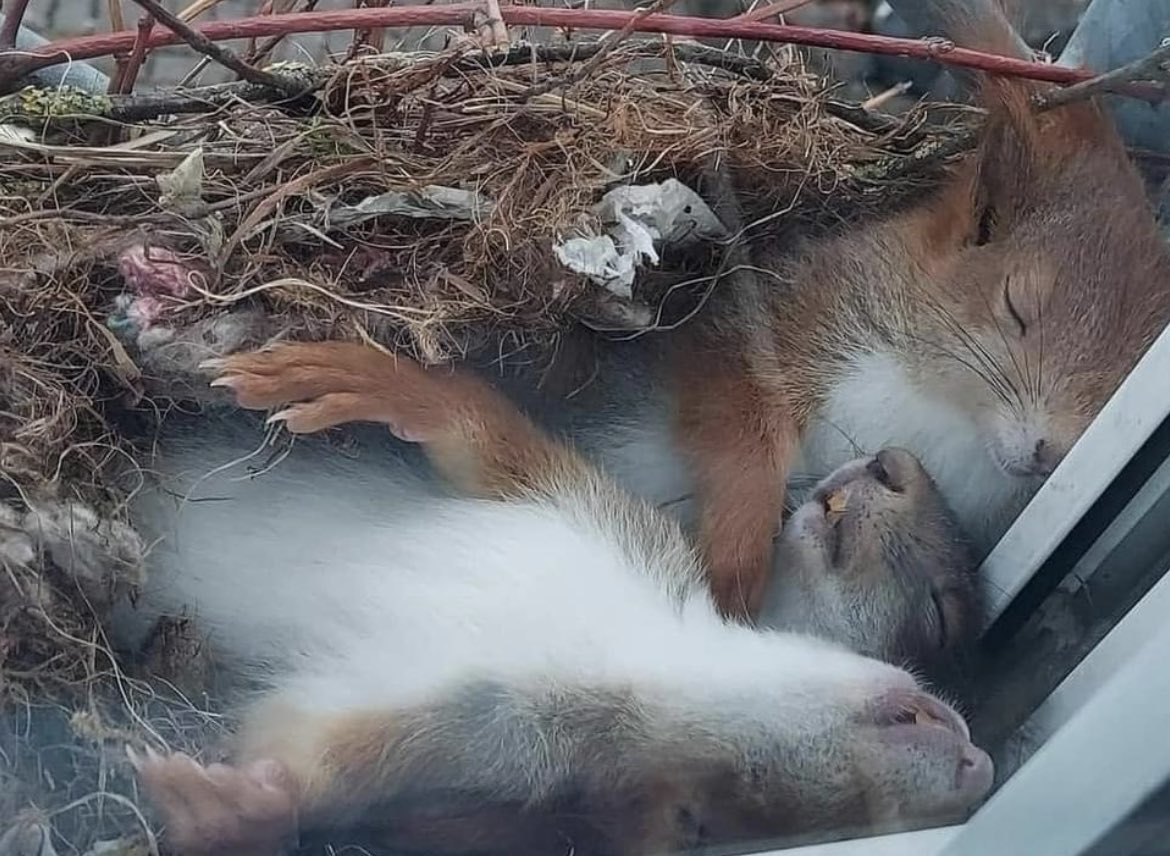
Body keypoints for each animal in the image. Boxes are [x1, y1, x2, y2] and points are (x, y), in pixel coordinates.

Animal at [124, 340, 991, 855]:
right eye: (939, 614)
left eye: (715, 815)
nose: (978, 765)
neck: (640, 647)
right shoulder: (599, 516)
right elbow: (483, 438)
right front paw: (374, 378)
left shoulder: (479, 738)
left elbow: (314, 759)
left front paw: (235, 810)